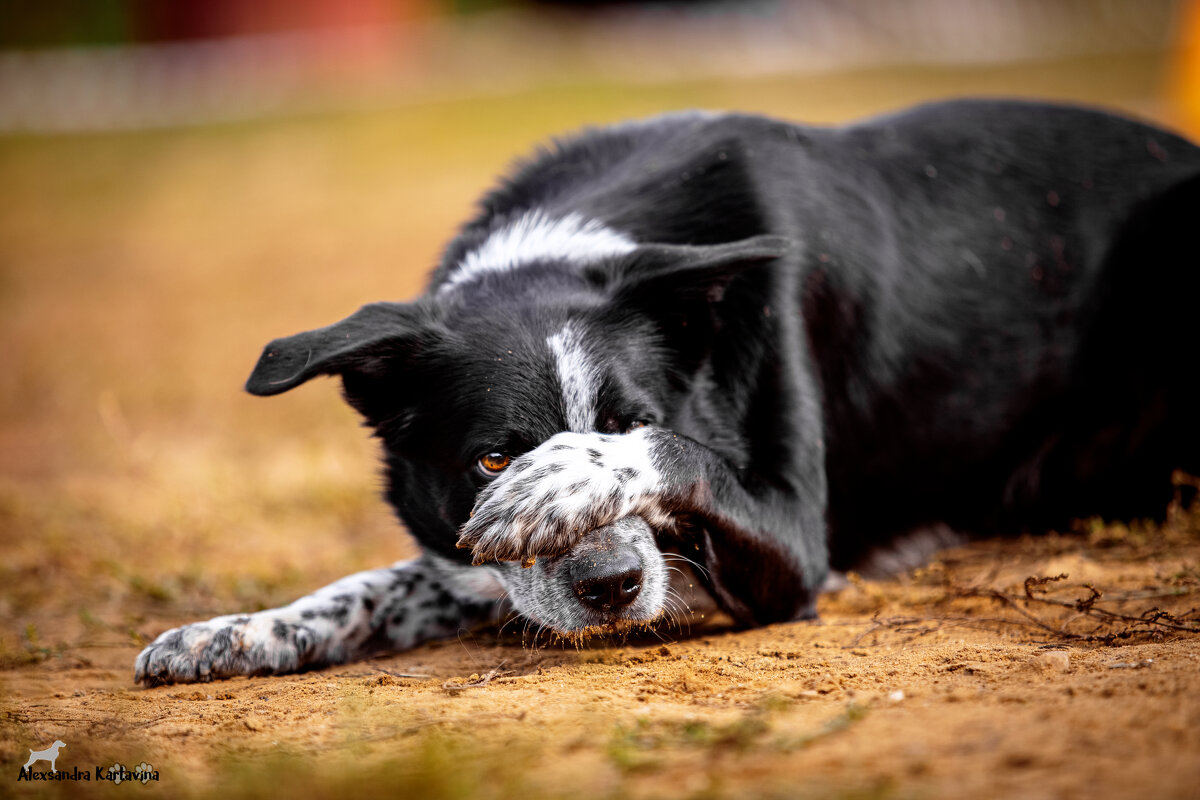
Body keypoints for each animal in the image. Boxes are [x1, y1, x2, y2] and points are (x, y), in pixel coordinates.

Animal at [133, 101, 1200, 690]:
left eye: (632, 420)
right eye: (489, 455)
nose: (611, 587)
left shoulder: (795, 545)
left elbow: (682, 456)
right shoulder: (465, 552)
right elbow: (380, 585)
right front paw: (236, 631)